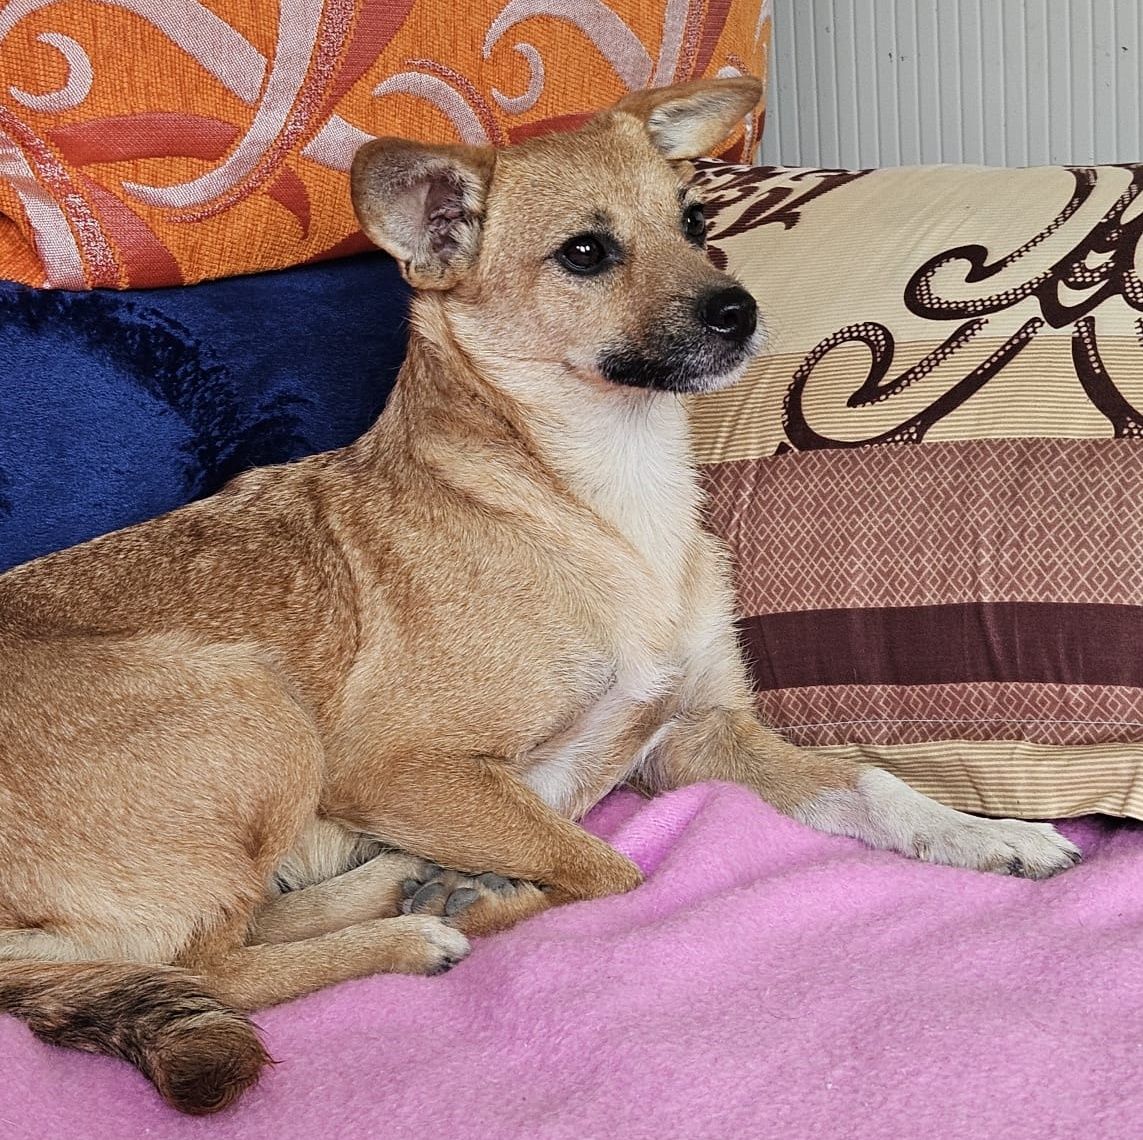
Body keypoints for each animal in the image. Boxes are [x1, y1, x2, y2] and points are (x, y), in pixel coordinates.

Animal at [0, 78, 1080, 1115]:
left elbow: (871, 784)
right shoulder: (393, 769)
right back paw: (409, 930)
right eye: (586, 253)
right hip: (251, 703)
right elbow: (606, 866)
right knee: (206, 962)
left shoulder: (698, 733)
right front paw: (479, 896)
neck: (603, 497)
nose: (738, 310)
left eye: (694, 219)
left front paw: (990, 835)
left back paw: (399, 882)